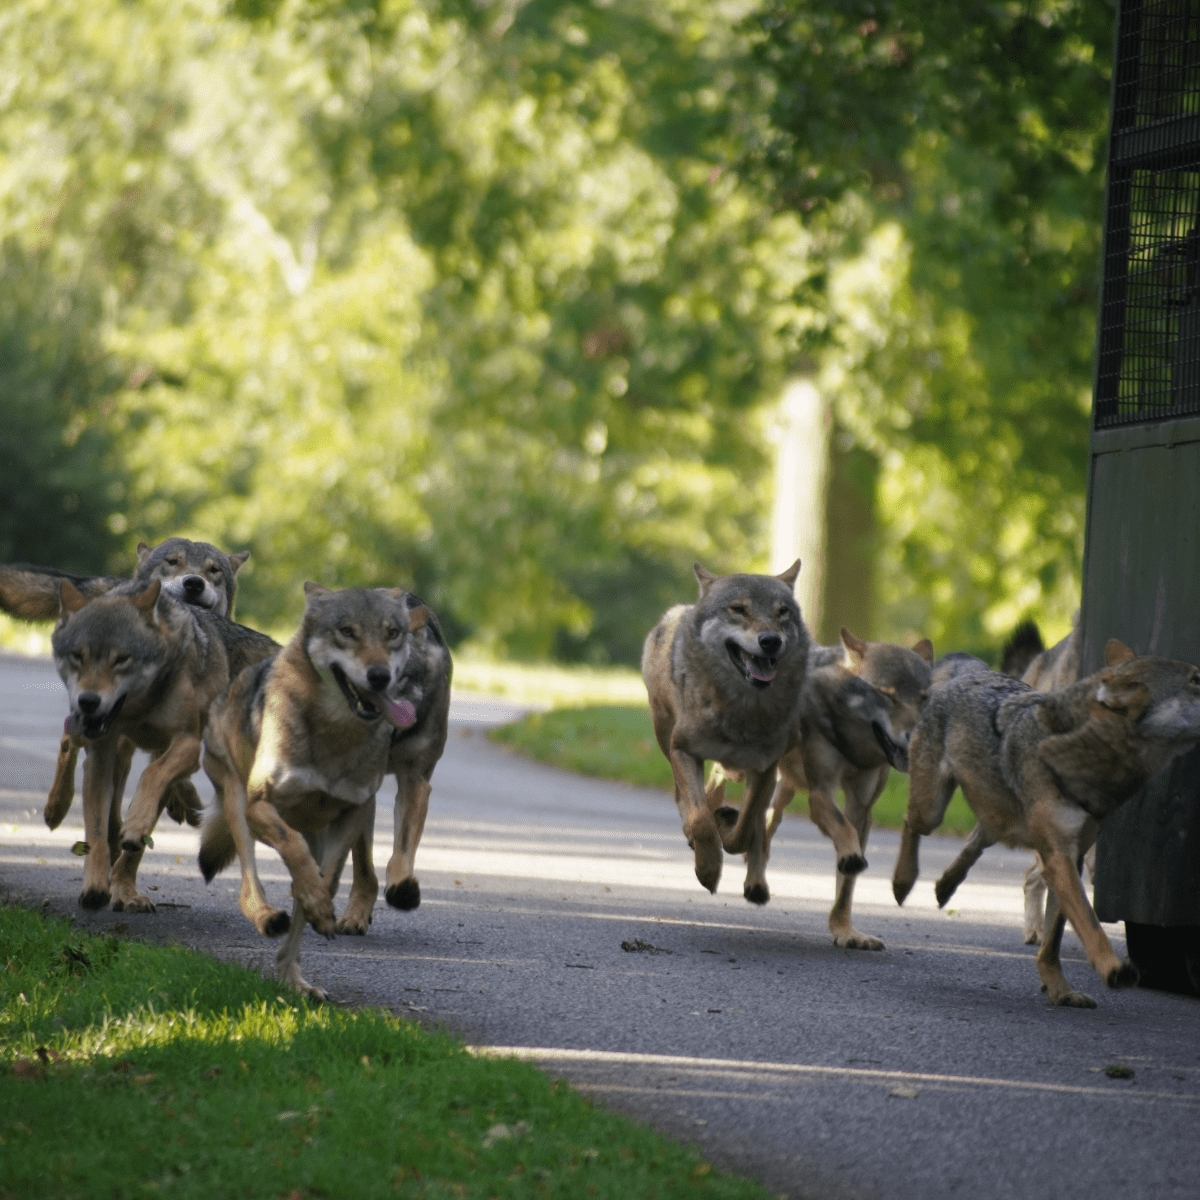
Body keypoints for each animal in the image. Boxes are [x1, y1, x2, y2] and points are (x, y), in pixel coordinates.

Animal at [51, 578, 277, 912]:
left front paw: (135, 829)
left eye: (122, 659)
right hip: (94, 738)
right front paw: (95, 885)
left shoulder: (189, 743)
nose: (88, 701)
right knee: (69, 738)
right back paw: (55, 808)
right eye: (78, 656)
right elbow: (96, 830)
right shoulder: (101, 755)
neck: (139, 709)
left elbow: (152, 778)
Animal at [199, 584, 429, 998]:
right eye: (347, 631)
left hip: (320, 832)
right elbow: (292, 847)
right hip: (238, 805)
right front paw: (316, 903)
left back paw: (296, 982)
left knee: (300, 897)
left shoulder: (354, 812)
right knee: (249, 884)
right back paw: (266, 917)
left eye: (392, 633)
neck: (336, 733)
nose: (380, 676)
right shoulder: (261, 807)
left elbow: (329, 877)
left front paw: (321, 907)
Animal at [642, 561, 807, 899]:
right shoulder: (683, 751)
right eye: (738, 609)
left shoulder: (765, 768)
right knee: (685, 799)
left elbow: (746, 826)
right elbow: (701, 820)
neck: (740, 710)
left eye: (782, 612)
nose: (771, 640)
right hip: (666, 738)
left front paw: (728, 829)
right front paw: (707, 869)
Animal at [892, 641, 1200, 1006]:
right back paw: (902, 882)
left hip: (1000, 820)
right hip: (932, 810)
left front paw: (1059, 989)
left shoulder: (1072, 857)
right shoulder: (1058, 858)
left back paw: (945, 886)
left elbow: (1054, 939)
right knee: (910, 823)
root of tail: (970, 673)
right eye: (1197, 680)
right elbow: (1090, 924)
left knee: (977, 838)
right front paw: (1113, 969)